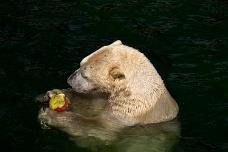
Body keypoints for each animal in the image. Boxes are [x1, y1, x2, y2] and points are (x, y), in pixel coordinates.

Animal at [38, 40, 179, 139]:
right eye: (81, 63)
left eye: (85, 75)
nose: (69, 80)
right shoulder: (106, 98)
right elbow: (91, 103)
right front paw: (53, 93)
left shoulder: (127, 112)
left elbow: (98, 127)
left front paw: (48, 114)